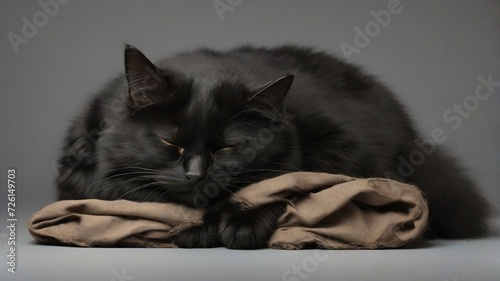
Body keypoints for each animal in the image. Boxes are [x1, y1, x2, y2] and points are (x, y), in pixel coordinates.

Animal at [56, 43, 490, 247]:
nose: (197, 175)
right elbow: (144, 195)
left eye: (227, 148)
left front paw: (240, 225)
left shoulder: (343, 147)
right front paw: (200, 230)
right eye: (170, 142)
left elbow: (290, 184)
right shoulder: (83, 171)